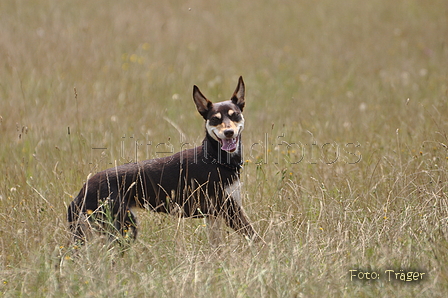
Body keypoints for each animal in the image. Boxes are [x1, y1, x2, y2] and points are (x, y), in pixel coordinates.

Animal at [68, 77, 260, 244]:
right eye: (214, 119)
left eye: (235, 115)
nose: (228, 132)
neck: (215, 160)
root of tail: (83, 190)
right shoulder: (230, 211)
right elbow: (257, 239)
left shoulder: (214, 216)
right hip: (125, 227)